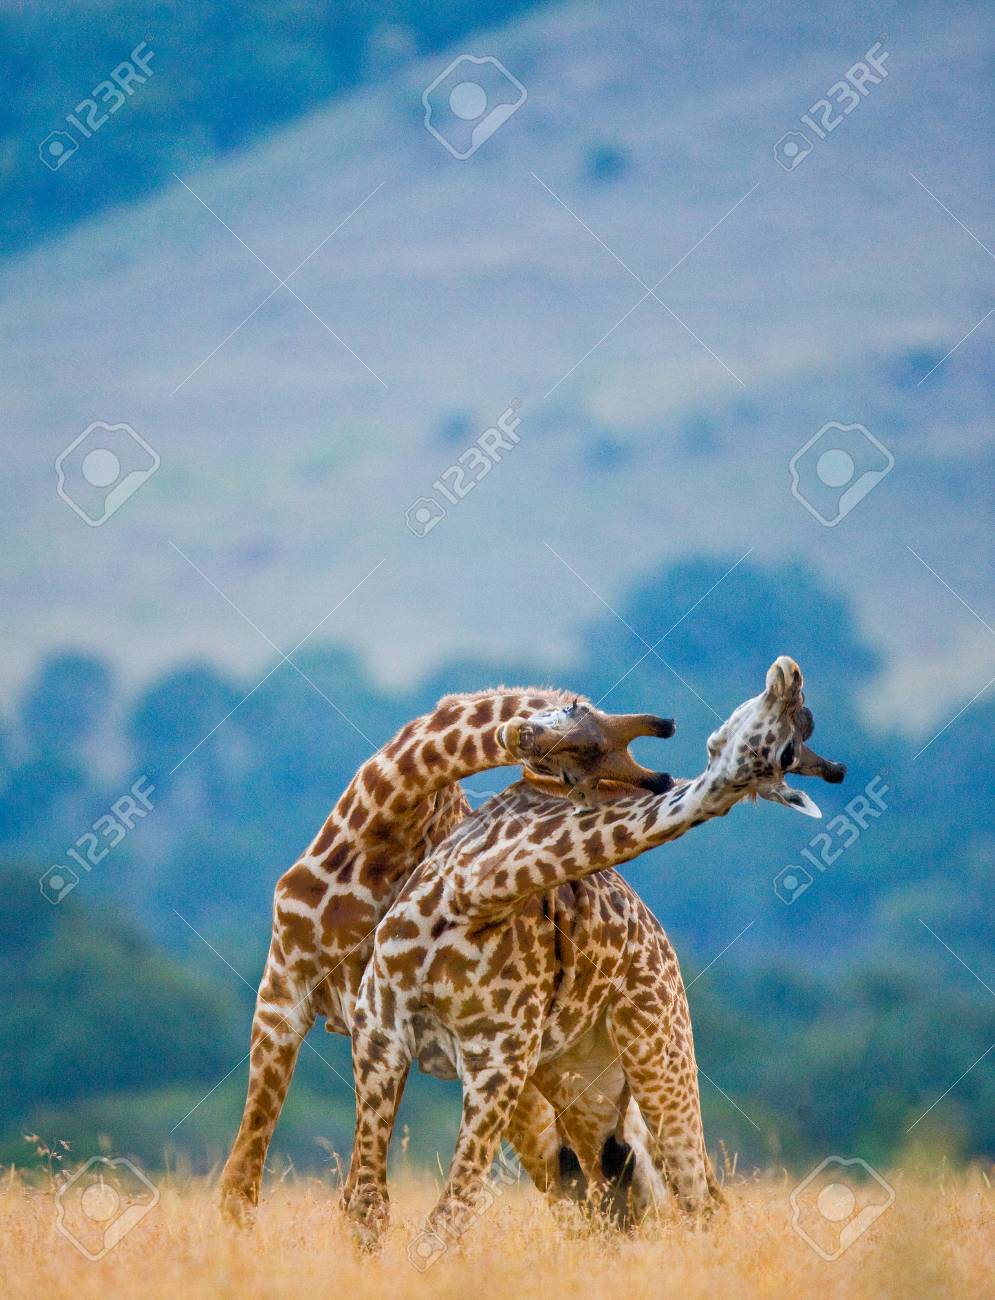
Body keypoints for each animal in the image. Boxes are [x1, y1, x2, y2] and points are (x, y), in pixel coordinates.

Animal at [218, 685, 676, 1224]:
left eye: (583, 770)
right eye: (574, 712)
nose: (520, 734)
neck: (376, 826)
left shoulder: (374, 1004)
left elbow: (360, 1194)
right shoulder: (284, 985)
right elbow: (240, 1182)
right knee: (599, 1181)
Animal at [345, 657, 846, 1247]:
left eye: (787, 752)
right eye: (571, 708)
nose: (791, 676)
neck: (475, 892)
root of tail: (661, 945)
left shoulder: (498, 1064)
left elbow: (449, 1214)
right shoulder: (379, 1029)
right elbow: (367, 1206)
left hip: (657, 1051)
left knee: (693, 1198)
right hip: (584, 1087)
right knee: (620, 1202)